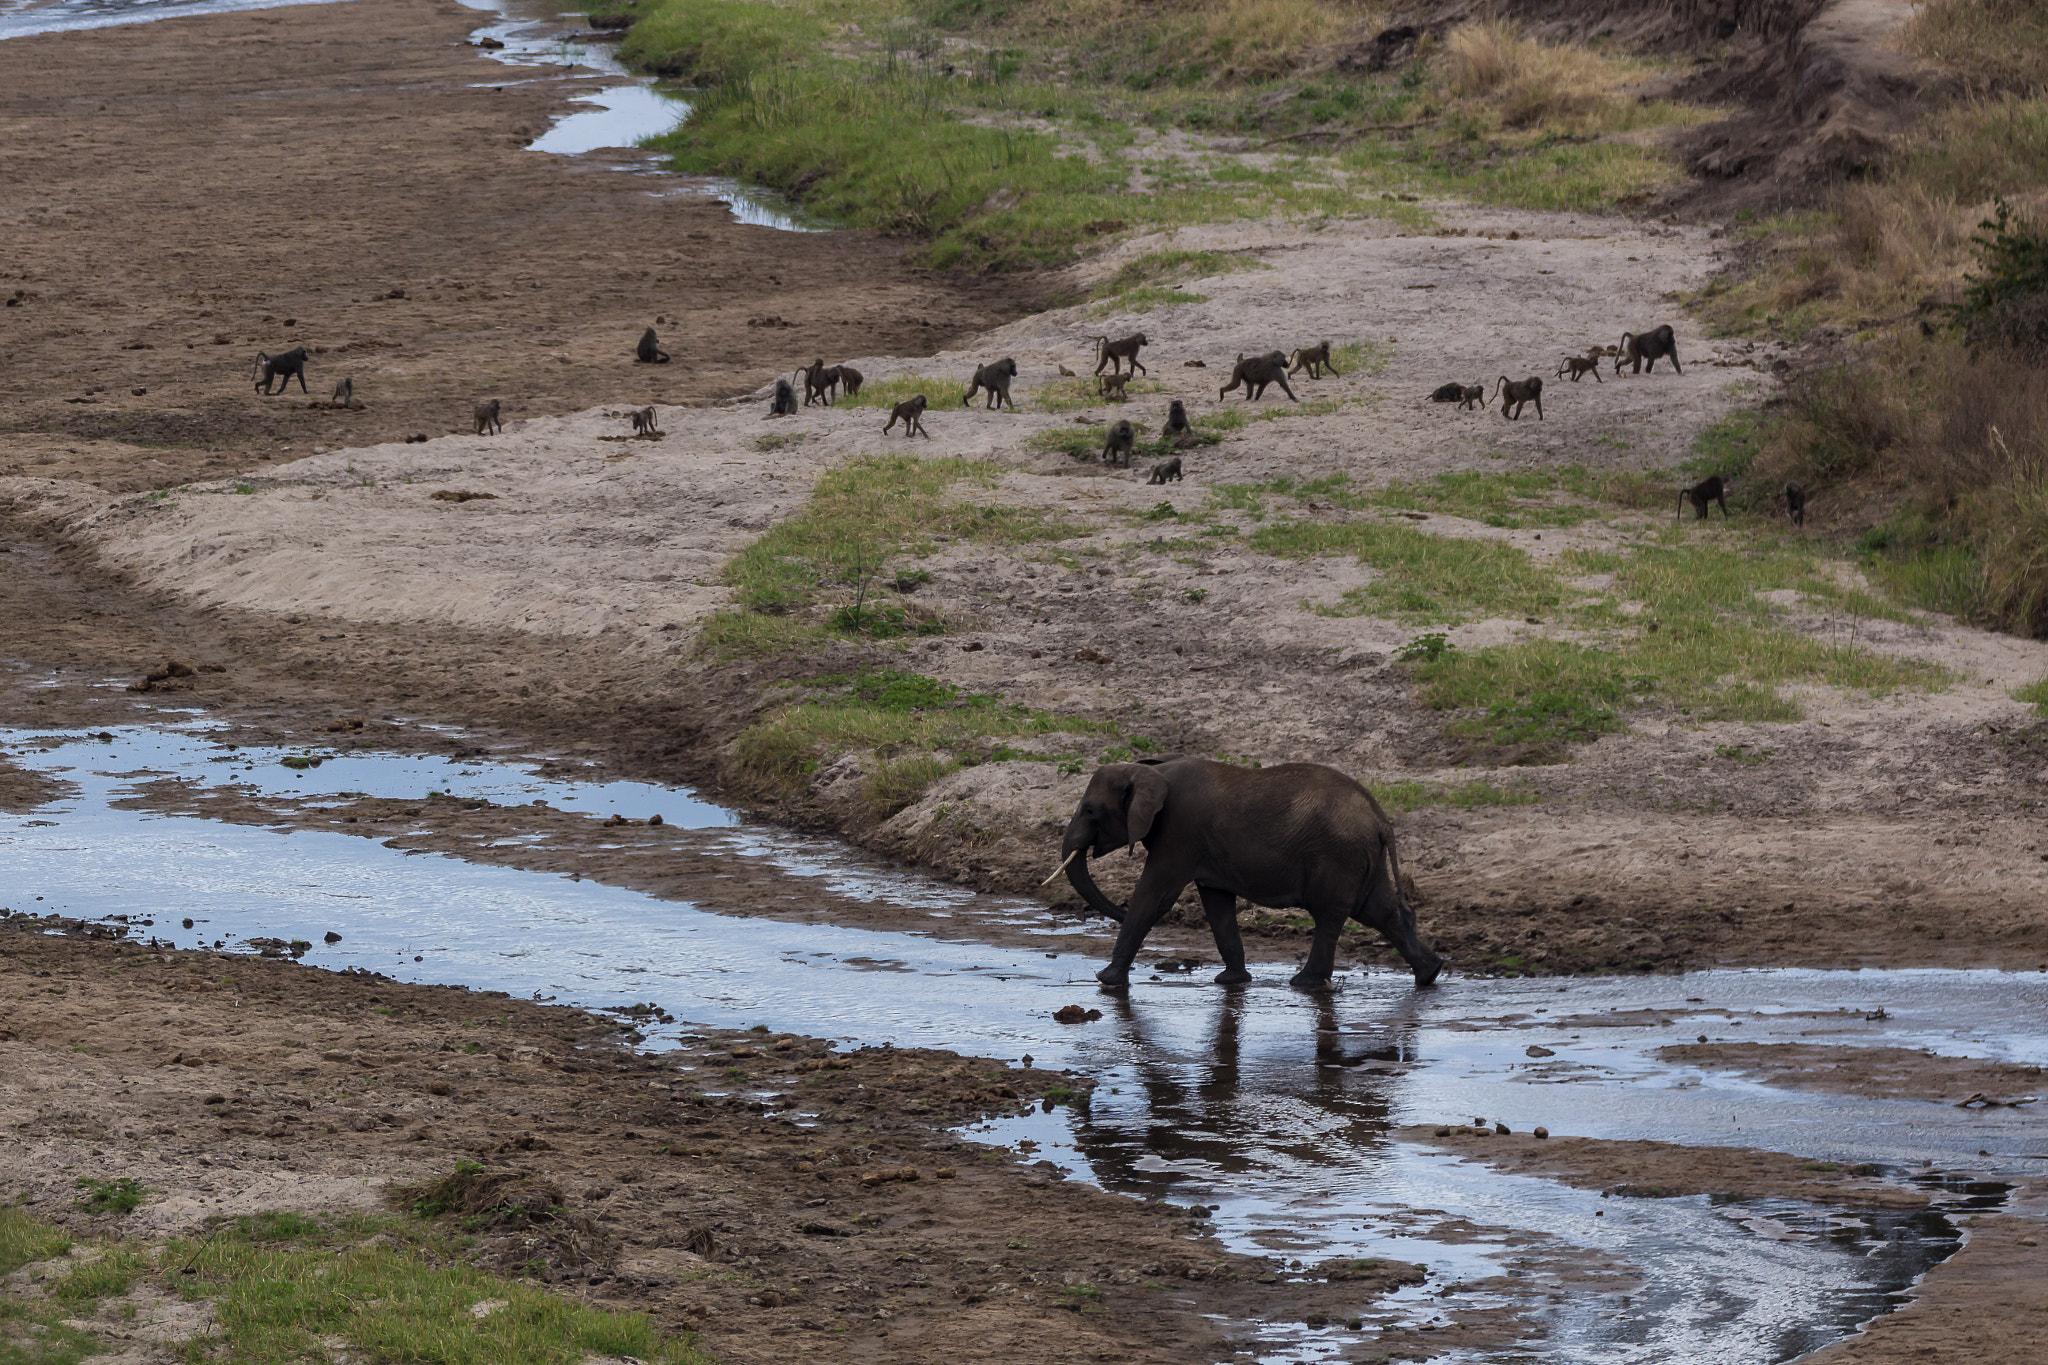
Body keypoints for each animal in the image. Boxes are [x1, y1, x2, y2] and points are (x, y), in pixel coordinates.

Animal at [1055, 756, 1442, 991]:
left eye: (1089, 810)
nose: (1114, 912)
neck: (1151, 770)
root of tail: (1380, 817)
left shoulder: (1178, 834)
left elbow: (1153, 898)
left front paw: (1106, 981)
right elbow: (1216, 904)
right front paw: (1231, 981)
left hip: (1337, 855)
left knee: (1330, 914)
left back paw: (1303, 984)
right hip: (1360, 855)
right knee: (1379, 910)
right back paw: (1431, 973)